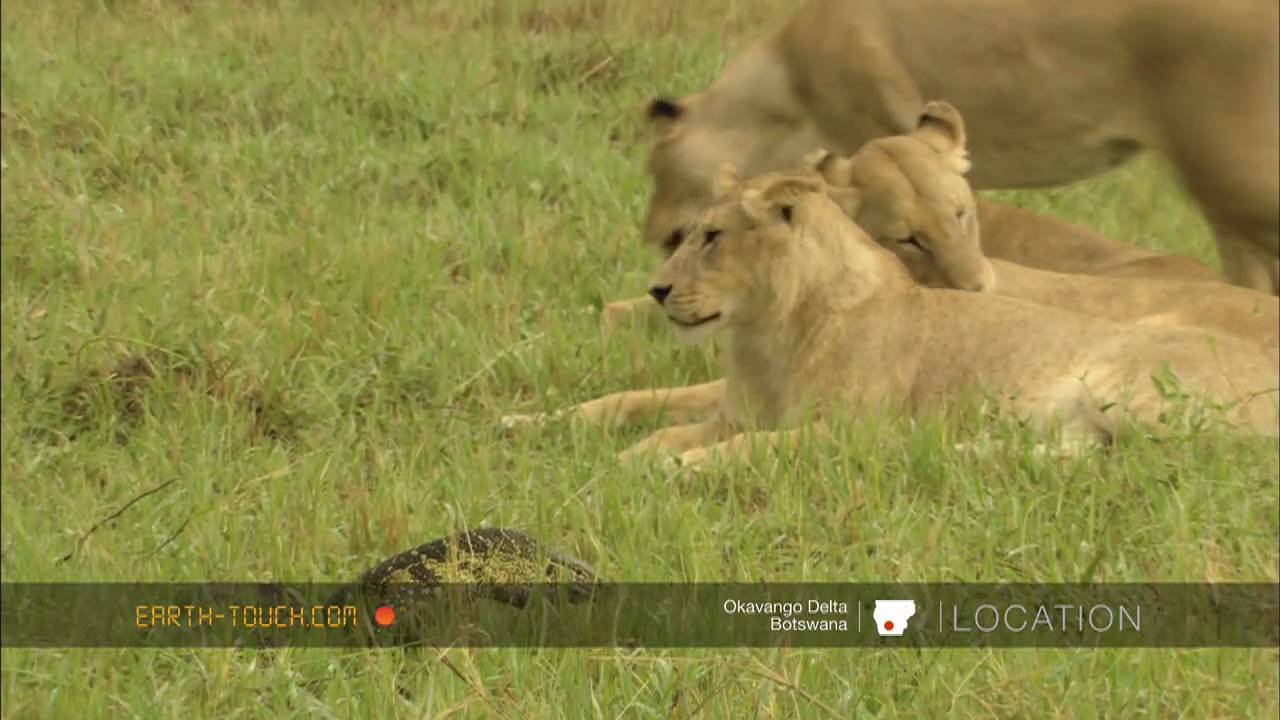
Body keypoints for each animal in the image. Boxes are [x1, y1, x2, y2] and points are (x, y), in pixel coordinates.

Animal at [509, 171, 1278, 465]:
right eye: (686, 233)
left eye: (713, 236)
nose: (658, 290)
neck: (767, 332)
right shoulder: (731, 404)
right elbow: (642, 407)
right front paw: (551, 431)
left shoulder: (842, 429)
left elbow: (757, 446)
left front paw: (680, 467)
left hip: (1133, 380)